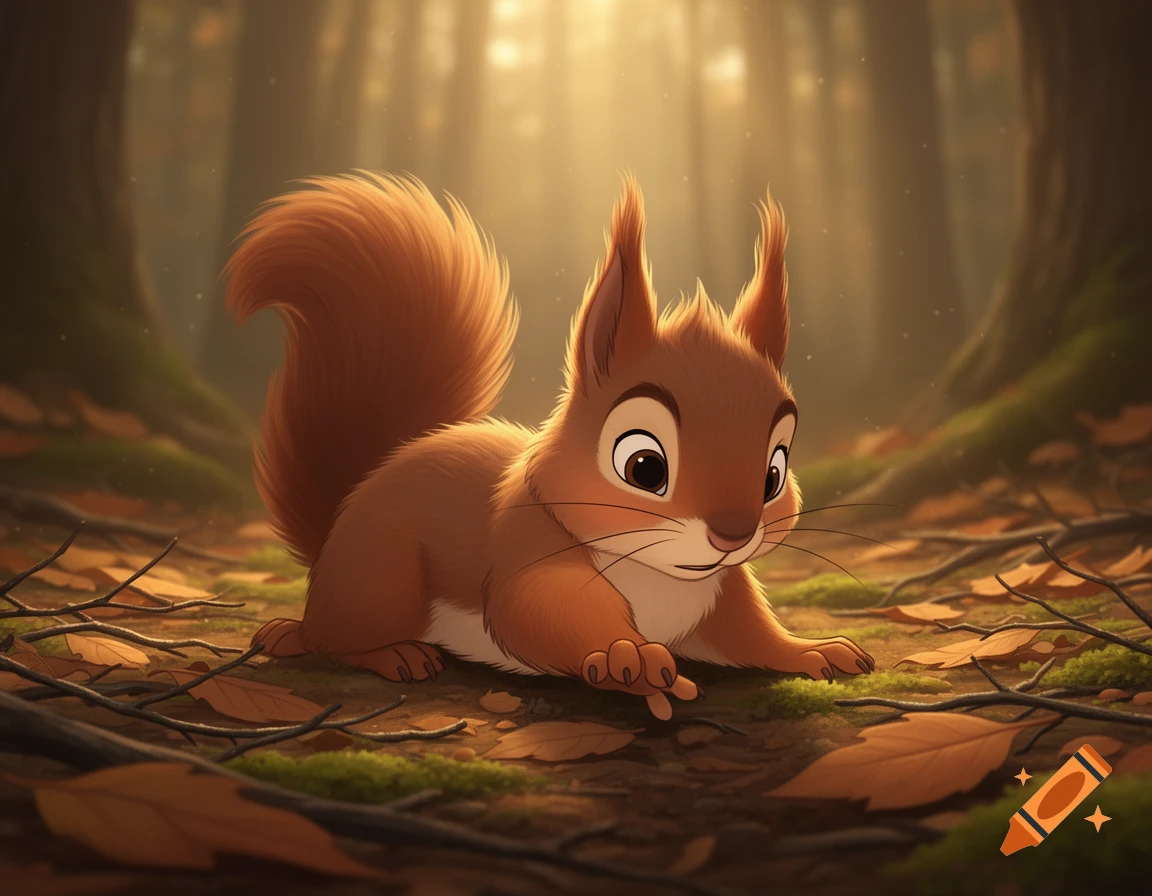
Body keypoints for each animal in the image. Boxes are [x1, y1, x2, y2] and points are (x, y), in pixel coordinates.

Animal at [227, 172, 874, 719]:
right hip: (378, 578)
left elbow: (751, 632)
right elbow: (535, 611)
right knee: (323, 637)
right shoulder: (531, 550)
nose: (734, 535)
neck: (660, 575)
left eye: (774, 473)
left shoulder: (719, 595)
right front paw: (626, 658)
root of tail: (337, 530)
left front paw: (812, 649)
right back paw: (385, 652)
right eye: (644, 466)